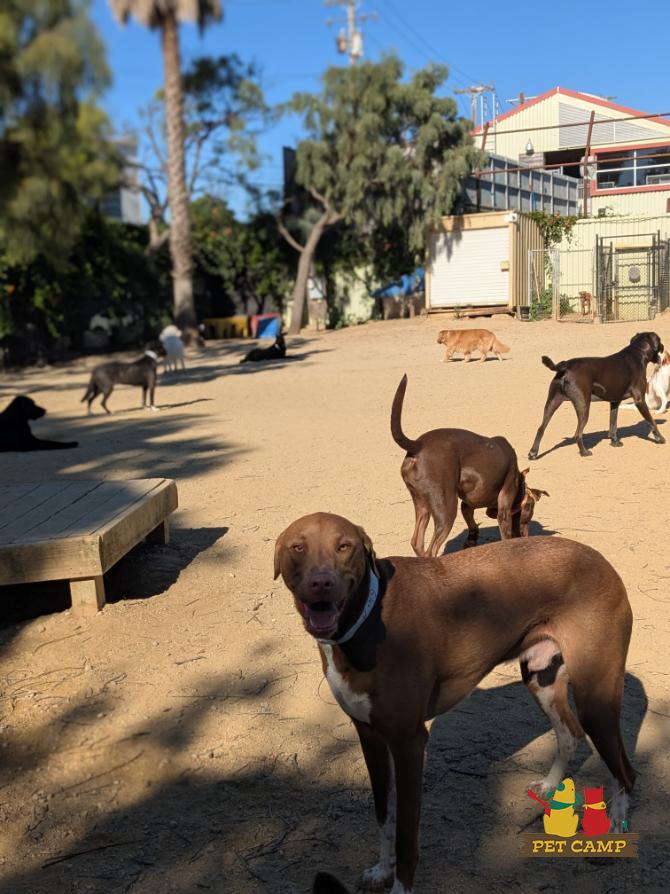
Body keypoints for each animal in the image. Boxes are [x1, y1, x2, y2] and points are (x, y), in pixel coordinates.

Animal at [275, 513, 635, 894]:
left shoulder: (408, 743)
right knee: (570, 735)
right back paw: (550, 787)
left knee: (625, 773)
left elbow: (406, 837)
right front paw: (382, 870)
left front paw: (399, 886)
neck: (367, 621)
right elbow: (384, 815)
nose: (322, 583)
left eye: (344, 546)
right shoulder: (369, 736)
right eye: (297, 547)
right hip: (541, 679)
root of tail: (600, 560)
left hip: (596, 701)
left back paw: (611, 838)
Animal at [392, 375, 547, 555]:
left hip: (421, 503)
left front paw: (471, 540)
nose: (528, 536)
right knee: (432, 549)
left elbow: (471, 521)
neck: (519, 483)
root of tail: (417, 445)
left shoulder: (467, 505)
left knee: (417, 541)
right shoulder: (504, 509)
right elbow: (505, 534)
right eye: (531, 508)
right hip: (445, 507)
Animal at [528, 331, 666, 459]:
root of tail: (565, 365)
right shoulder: (640, 400)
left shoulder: (614, 402)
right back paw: (584, 452)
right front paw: (660, 439)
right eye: (660, 341)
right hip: (583, 406)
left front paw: (615, 442)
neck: (637, 353)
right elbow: (651, 421)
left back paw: (533, 453)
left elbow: (613, 424)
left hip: (552, 402)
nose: (664, 347)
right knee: (577, 433)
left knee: (540, 429)